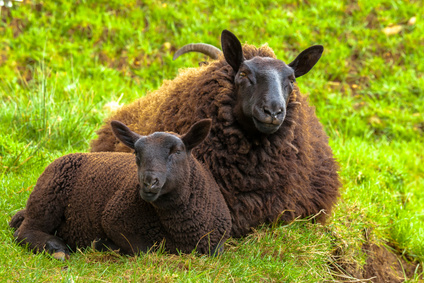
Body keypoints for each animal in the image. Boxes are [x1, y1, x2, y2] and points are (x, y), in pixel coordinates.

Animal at [8, 119, 230, 260]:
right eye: (136, 154)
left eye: (177, 151)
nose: (149, 182)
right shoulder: (114, 220)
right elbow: (143, 250)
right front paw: (103, 245)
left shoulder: (216, 242)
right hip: (48, 197)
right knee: (24, 232)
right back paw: (57, 249)